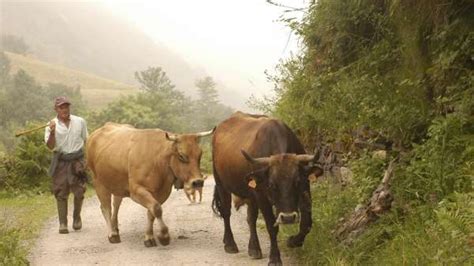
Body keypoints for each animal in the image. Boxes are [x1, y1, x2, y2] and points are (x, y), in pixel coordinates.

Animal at [86, 123, 214, 247]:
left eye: (200, 154)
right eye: (181, 156)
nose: (198, 182)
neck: (157, 160)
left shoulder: (162, 192)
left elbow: (151, 212)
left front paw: (149, 237)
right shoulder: (136, 190)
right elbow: (156, 208)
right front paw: (163, 235)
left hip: (118, 185)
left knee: (116, 205)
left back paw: (115, 229)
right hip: (98, 182)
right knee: (106, 208)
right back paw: (112, 235)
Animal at [211, 111, 322, 264]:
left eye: (297, 182)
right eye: (271, 184)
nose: (288, 218)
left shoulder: (305, 189)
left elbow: (307, 223)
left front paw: (293, 241)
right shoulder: (261, 195)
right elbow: (271, 225)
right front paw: (274, 258)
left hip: (250, 194)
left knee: (251, 218)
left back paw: (254, 248)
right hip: (221, 184)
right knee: (226, 212)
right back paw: (230, 244)